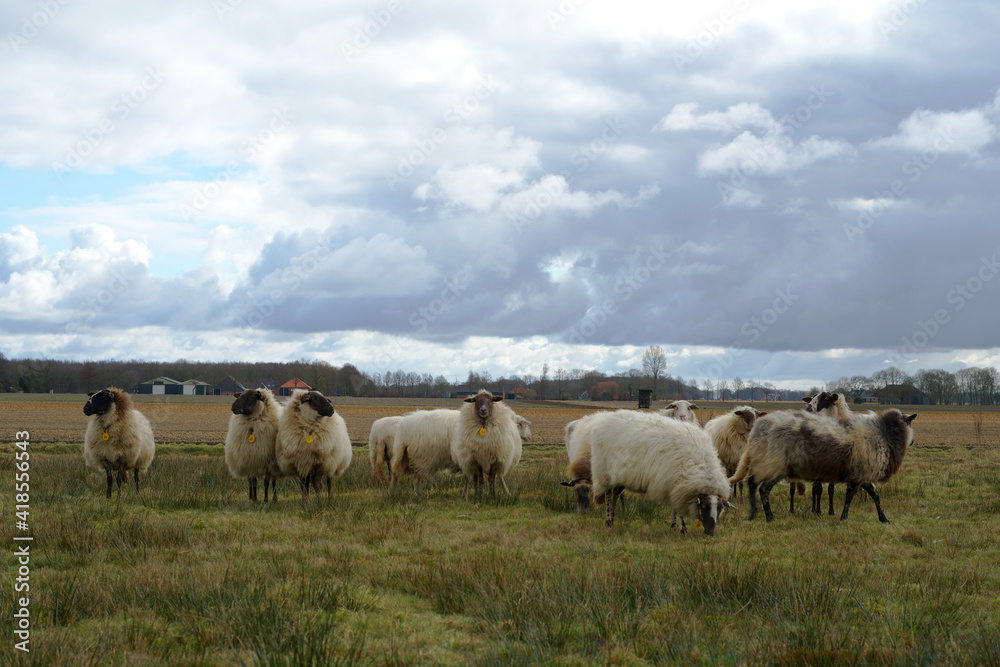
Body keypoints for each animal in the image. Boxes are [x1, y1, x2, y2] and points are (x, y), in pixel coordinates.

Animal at [588, 412, 732, 536]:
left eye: (720, 508)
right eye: (704, 506)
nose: (711, 533)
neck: (701, 463)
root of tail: (606, 419)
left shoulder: (676, 486)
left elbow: (675, 508)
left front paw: (674, 526)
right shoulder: (675, 485)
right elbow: (678, 508)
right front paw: (683, 529)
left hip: (620, 477)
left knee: (615, 494)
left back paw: (612, 520)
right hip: (604, 473)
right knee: (608, 494)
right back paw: (608, 521)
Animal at [724, 410, 916, 524]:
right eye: (909, 423)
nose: (913, 441)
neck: (884, 435)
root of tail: (757, 429)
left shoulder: (861, 475)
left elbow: (875, 496)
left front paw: (883, 518)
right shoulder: (860, 474)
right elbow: (851, 497)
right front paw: (844, 517)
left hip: (765, 464)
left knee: (752, 484)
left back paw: (753, 513)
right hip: (773, 465)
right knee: (762, 489)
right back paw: (769, 517)